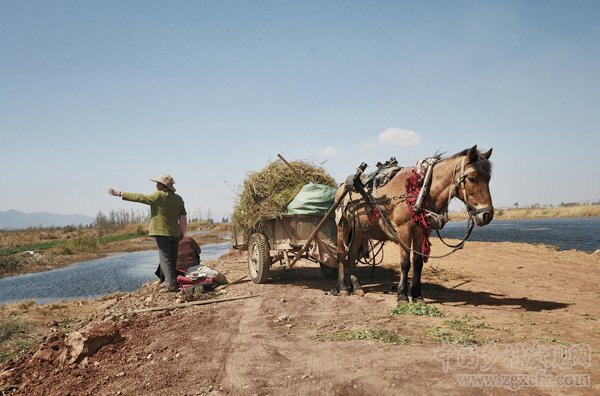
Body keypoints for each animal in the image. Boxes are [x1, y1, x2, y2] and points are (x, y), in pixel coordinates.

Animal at [332, 145, 492, 304]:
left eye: (489, 178)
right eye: (472, 178)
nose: (487, 215)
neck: (420, 191)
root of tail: (342, 186)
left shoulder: (421, 233)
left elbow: (417, 263)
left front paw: (417, 295)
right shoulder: (404, 231)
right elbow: (405, 263)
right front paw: (402, 295)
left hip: (359, 231)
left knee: (352, 255)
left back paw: (357, 287)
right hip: (343, 225)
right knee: (341, 254)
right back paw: (343, 287)